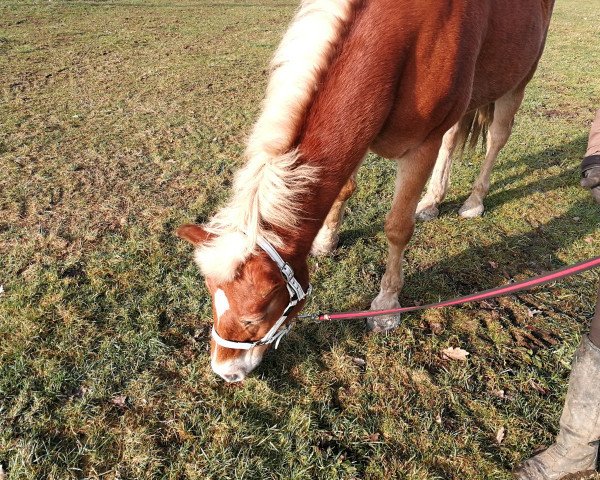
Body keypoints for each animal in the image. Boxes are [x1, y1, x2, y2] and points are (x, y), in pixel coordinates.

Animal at [176, 0, 556, 382]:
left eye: (253, 317)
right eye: (211, 296)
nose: (225, 371)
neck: (402, 39)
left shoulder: (421, 147)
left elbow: (398, 228)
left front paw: (386, 306)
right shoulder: (361, 129)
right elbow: (344, 188)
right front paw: (326, 240)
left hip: (518, 82)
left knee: (496, 138)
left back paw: (474, 201)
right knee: (453, 138)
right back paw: (432, 200)